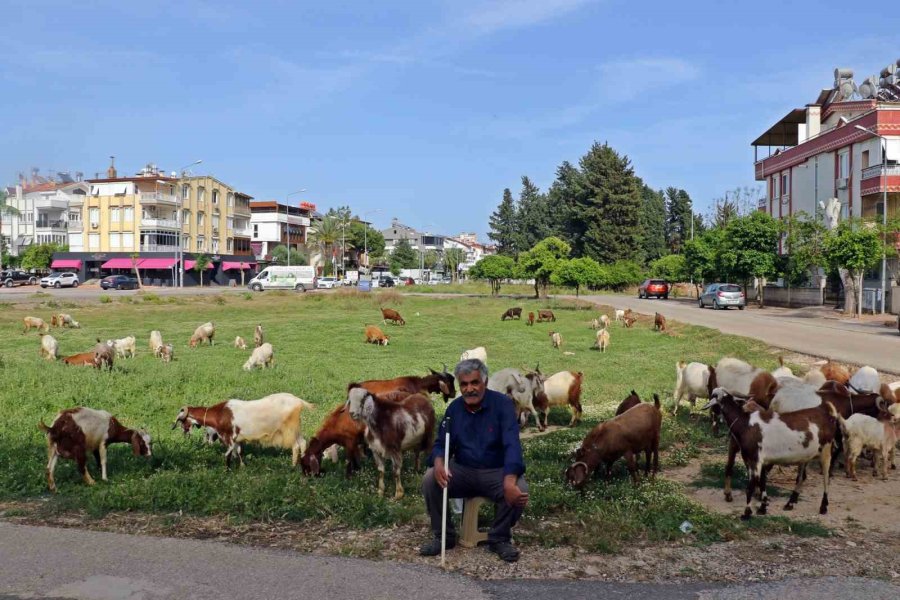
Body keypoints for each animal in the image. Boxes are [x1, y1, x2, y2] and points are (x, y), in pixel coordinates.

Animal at [174, 394, 314, 468]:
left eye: (181, 420)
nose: (184, 432)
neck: (220, 413)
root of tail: (299, 401)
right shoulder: (237, 438)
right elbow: (239, 452)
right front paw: (242, 466)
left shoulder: (229, 436)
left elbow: (228, 453)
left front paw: (227, 469)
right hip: (296, 429)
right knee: (302, 443)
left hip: (289, 430)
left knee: (296, 446)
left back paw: (293, 466)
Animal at [704, 390, 836, 520]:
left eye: (713, 396)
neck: (745, 424)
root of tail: (824, 412)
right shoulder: (756, 460)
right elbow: (762, 482)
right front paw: (762, 508)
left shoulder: (755, 459)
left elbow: (751, 486)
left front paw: (747, 513)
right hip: (805, 456)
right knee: (801, 477)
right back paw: (790, 504)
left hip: (826, 450)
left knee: (826, 478)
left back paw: (823, 507)